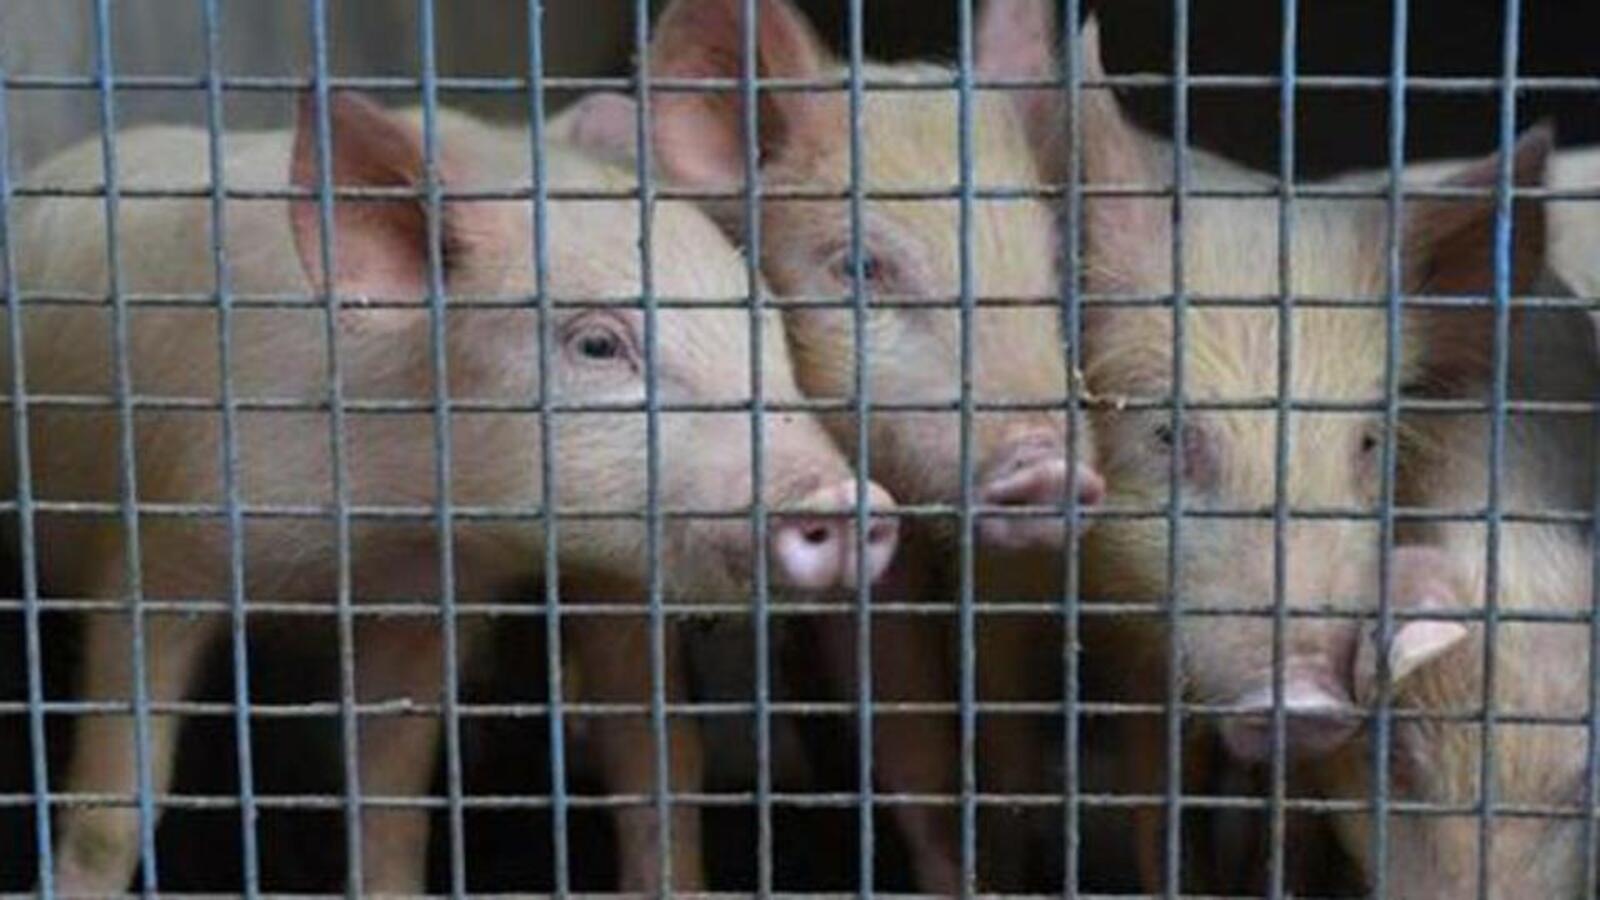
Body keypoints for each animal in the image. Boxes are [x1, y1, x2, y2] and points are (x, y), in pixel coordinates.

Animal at [8, 92, 901, 894]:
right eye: (597, 344)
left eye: (766, 327)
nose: (848, 500)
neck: (373, 531)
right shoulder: (162, 544)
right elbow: (116, 805)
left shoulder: (419, 608)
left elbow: (391, 809)